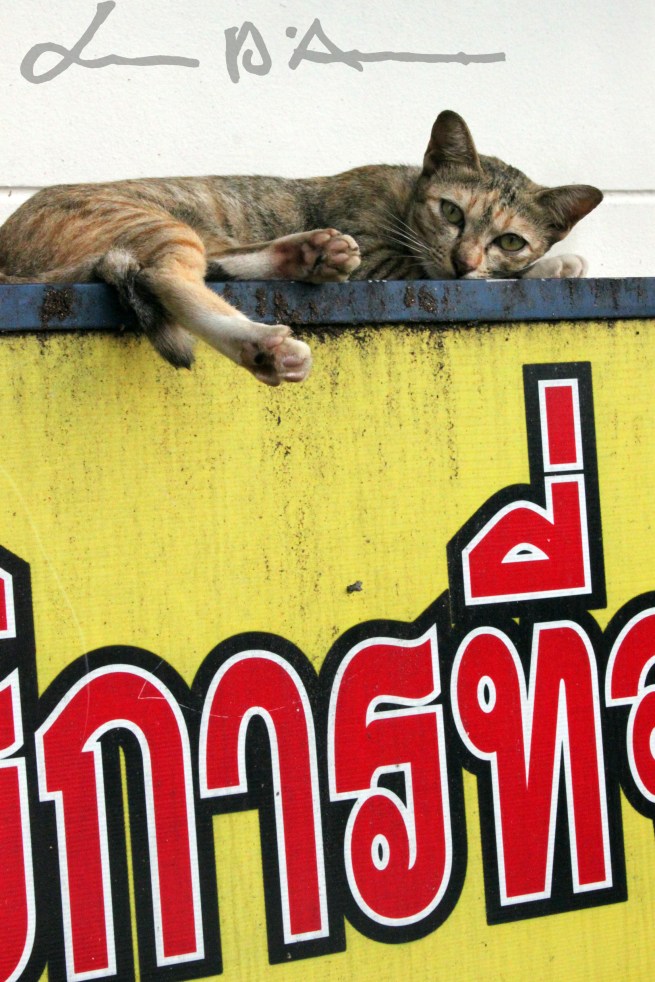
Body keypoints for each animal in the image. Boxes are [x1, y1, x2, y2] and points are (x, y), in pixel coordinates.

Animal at [0, 110, 601, 386]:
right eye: (451, 212)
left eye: (509, 239)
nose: (464, 259)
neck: (405, 191)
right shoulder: (386, 260)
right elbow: (442, 271)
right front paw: (550, 264)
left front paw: (552, 262)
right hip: (157, 220)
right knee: (165, 275)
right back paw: (263, 346)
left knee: (215, 265)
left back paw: (308, 254)